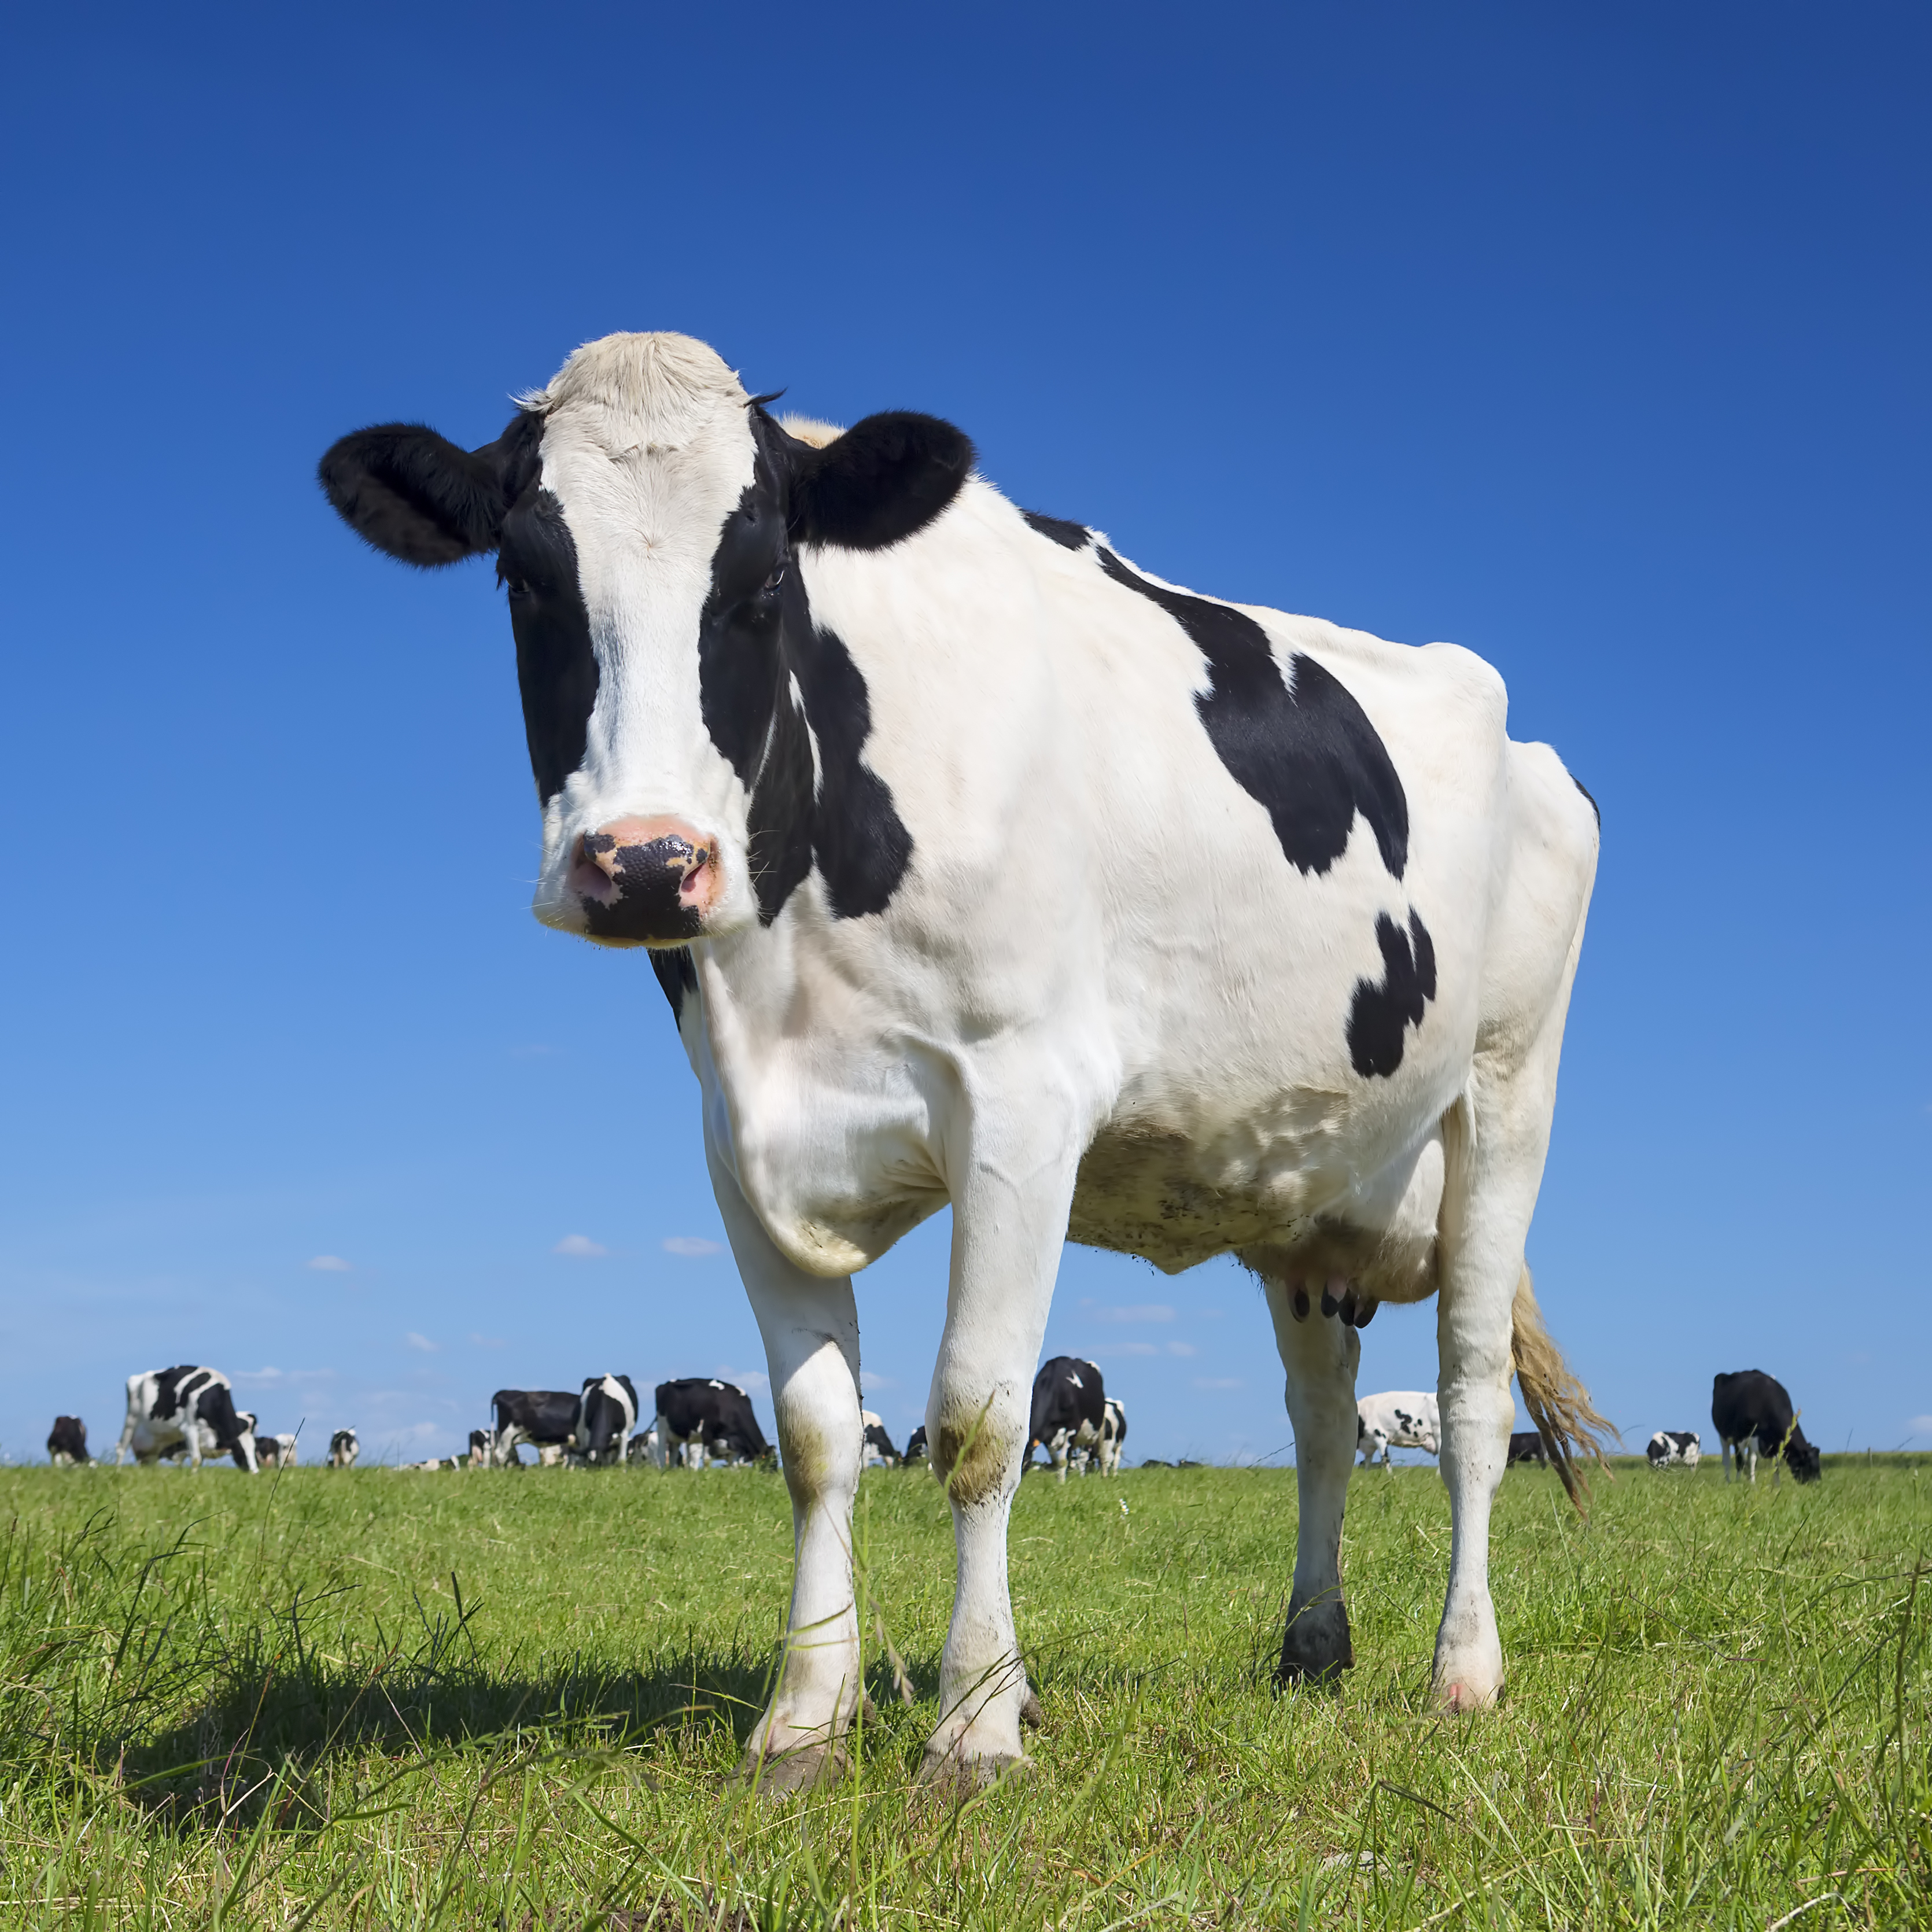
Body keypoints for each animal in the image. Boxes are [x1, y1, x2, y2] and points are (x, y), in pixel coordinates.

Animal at [114, 1368, 260, 1472]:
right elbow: (195, 1459)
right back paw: (118, 1473)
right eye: (240, 1450)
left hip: (151, 1448)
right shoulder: (190, 1429)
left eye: (254, 1450)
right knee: (121, 1448)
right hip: (131, 1420)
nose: (255, 1472)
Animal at [652, 1378, 770, 1468]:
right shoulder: (707, 1434)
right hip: (662, 1429)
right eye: (771, 1464)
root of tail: (666, 1383)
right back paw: (663, 1471)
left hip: (678, 1436)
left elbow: (734, 1466)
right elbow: (707, 1460)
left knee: (675, 1456)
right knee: (662, 1454)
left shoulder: (734, 1447)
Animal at [1028, 1357, 1108, 1483]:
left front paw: (1061, 1483)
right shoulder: (1047, 1436)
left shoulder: (1072, 1429)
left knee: (1090, 1456)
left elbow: (1062, 1461)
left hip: (1095, 1431)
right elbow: (1056, 1460)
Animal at [1712, 1372, 1820, 1485]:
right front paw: (1740, 1483)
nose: (1817, 1485)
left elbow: (1775, 1466)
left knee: (1750, 1460)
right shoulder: (1740, 1438)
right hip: (1724, 1437)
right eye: (1809, 1467)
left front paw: (1777, 1485)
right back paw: (1729, 1481)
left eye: (1818, 1468)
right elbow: (1741, 1462)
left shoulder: (1776, 1444)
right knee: (1728, 1460)